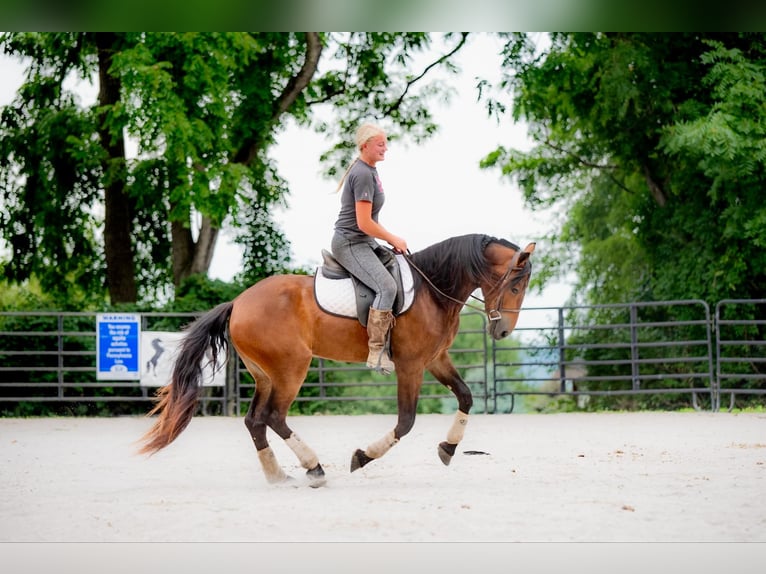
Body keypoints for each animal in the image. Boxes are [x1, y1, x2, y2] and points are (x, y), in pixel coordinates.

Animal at [140, 233, 536, 486]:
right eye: (515, 286)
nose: (503, 332)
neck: (432, 290)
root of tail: (238, 302)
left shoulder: (435, 358)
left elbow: (466, 396)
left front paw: (448, 448)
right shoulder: (411, 365)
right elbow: (405, 422)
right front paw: (363, 457)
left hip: (265, 375)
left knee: (255, 420)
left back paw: (277, 475)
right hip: (291, 369)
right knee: (274, 417)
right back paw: (313, 468)